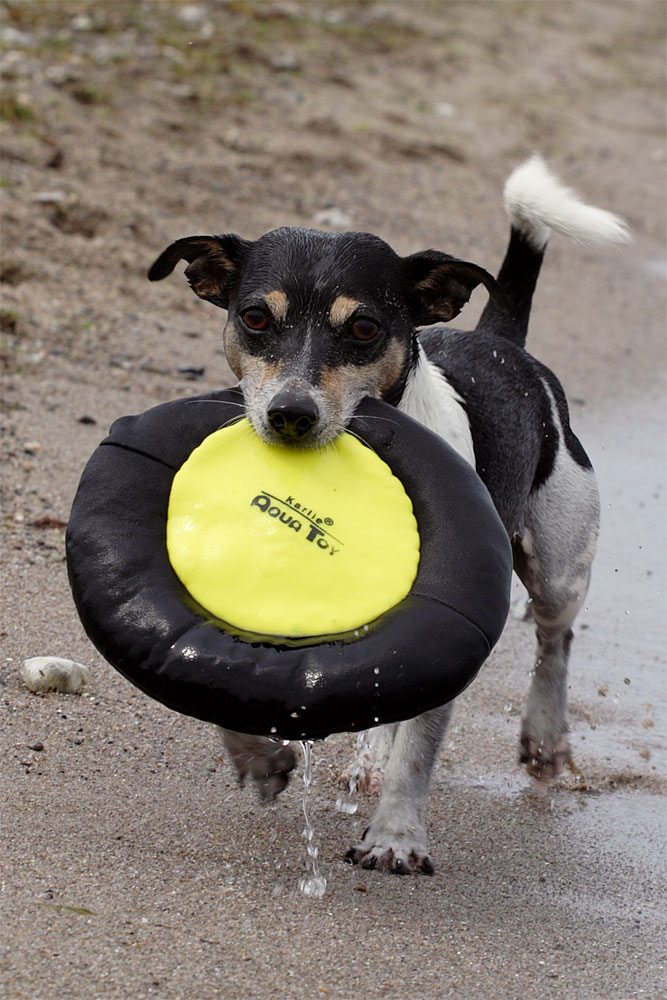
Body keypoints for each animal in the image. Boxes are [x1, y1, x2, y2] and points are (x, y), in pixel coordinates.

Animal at [147, 156, 632, 876]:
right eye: (255, 317)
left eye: (364, 328)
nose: (290, 414)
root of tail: (499, 340)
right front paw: (259, 755)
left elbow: (419, 746)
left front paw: (396, 837)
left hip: (558, 564)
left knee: (555, 640)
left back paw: (545, 740)